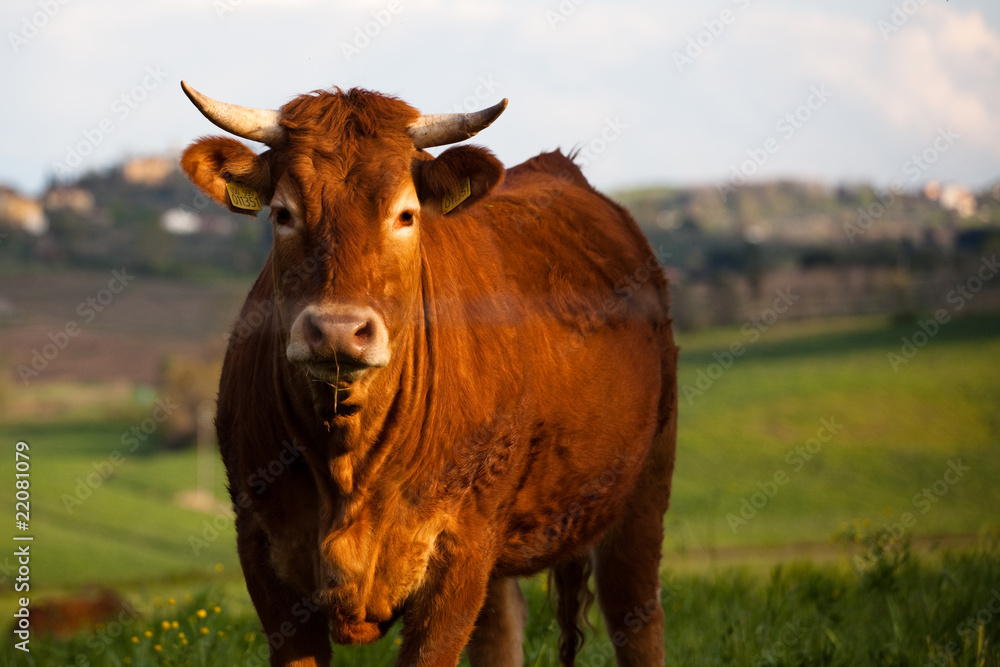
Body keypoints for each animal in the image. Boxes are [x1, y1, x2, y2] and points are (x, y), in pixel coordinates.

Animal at [180, 81, 680, 664]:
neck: (348, 457)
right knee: (501, 629)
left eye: (406, 214)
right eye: (283, 214)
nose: (337, 331)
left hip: (643, 487)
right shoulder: (263, 551)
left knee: (635, 614)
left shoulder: (460, 553)